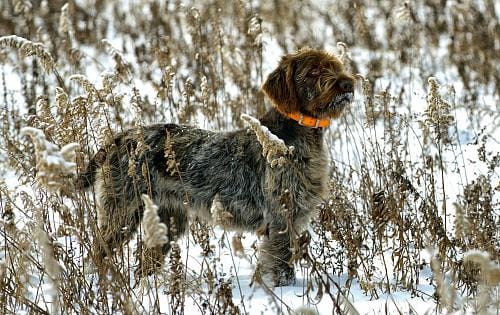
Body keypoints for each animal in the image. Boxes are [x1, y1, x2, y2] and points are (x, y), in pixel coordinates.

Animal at [78, 48, 356, 288]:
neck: (297, 135)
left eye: (335, 66)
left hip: (167, 220)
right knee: (99, 253)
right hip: (122, 212)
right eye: (313, 71)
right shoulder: (280, 219)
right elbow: (281, 266)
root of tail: (119, 139)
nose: (348, 84)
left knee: (146, 261)